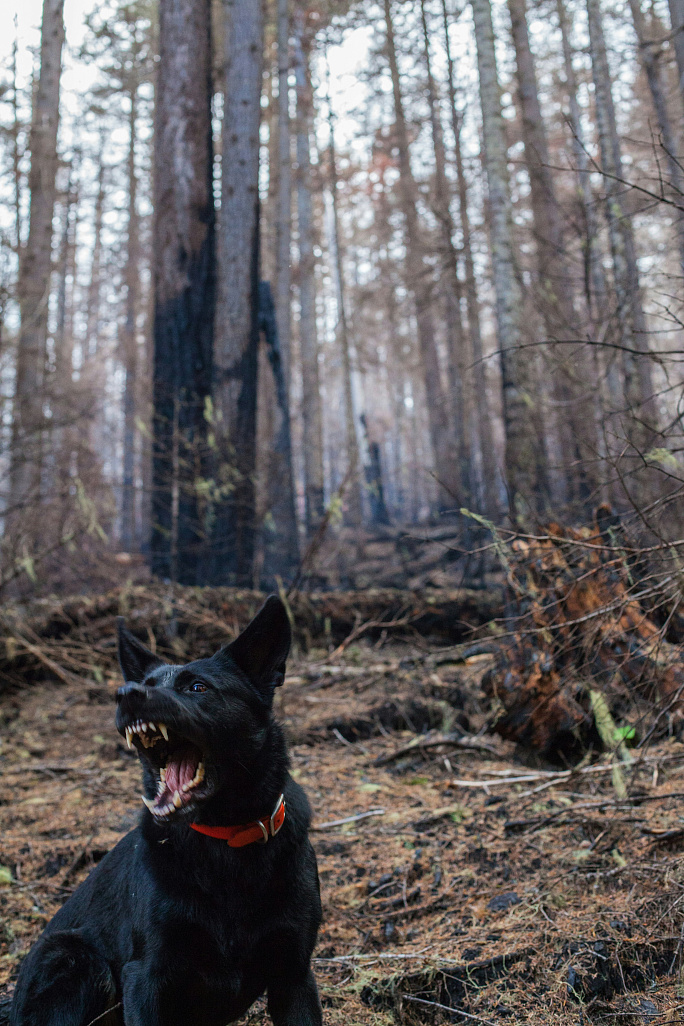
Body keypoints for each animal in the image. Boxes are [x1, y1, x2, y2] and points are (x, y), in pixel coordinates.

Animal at [9, 599, 322, 1026]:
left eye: (197, 687)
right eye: (147, 682)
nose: (125, 693)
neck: (225, 841)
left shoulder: (294, 975)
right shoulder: (147, 976)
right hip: (77, 959)